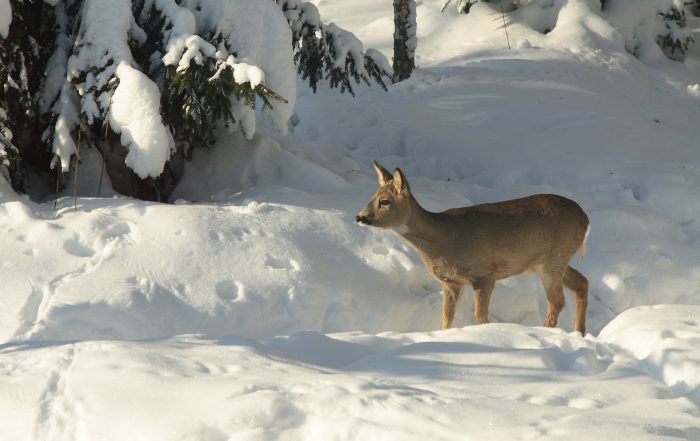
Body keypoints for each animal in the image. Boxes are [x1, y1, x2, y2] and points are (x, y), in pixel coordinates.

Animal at [356, 161, 590, 335]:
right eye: (371, 197)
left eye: (384, 201)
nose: (360, 217)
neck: (441, 238)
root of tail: (585, 219)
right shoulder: (451, 282)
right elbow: (446, 319)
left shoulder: (484, 275)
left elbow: (481, 317)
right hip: (554, 259)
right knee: (581, 283)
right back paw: (579, 333)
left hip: (553, 259)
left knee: (557, 301)